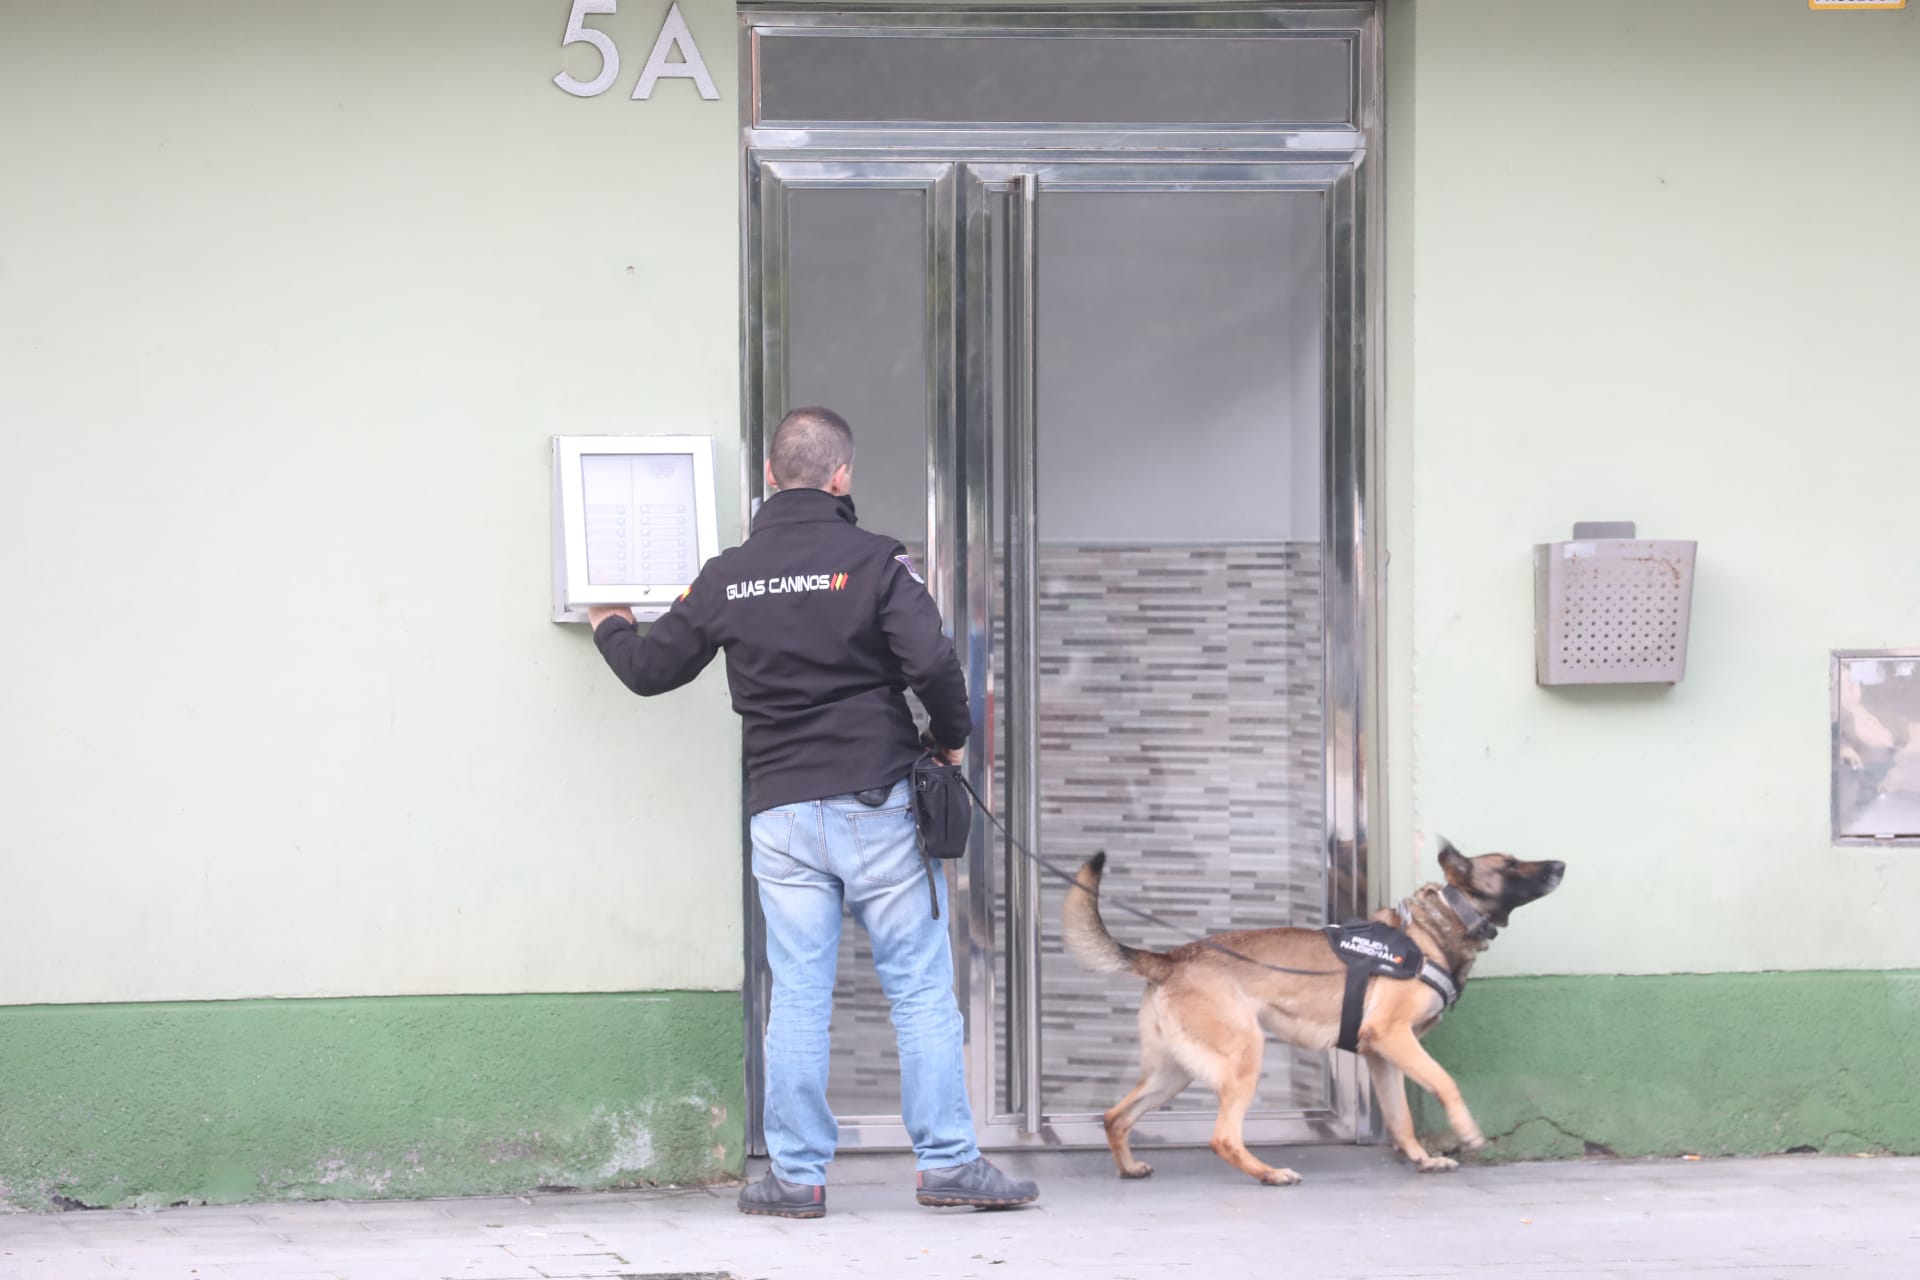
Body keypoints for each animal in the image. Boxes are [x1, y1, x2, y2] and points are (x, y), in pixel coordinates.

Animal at [1059, 844, 1566, 1189]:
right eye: (1510, 865)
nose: (1561, 865)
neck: (1437, 927)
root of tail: (1171, 958)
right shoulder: (1394, 1036)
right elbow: (1445, 1082)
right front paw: (1466, 1131)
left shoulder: (1383, 1055)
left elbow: (1400, 1118)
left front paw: (1422, 1159)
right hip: (1244, 1059)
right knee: (1222, 1137)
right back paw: (1269, 1174)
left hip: (1174, 1073)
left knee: (1115, 1116)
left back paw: (1128, 1166)